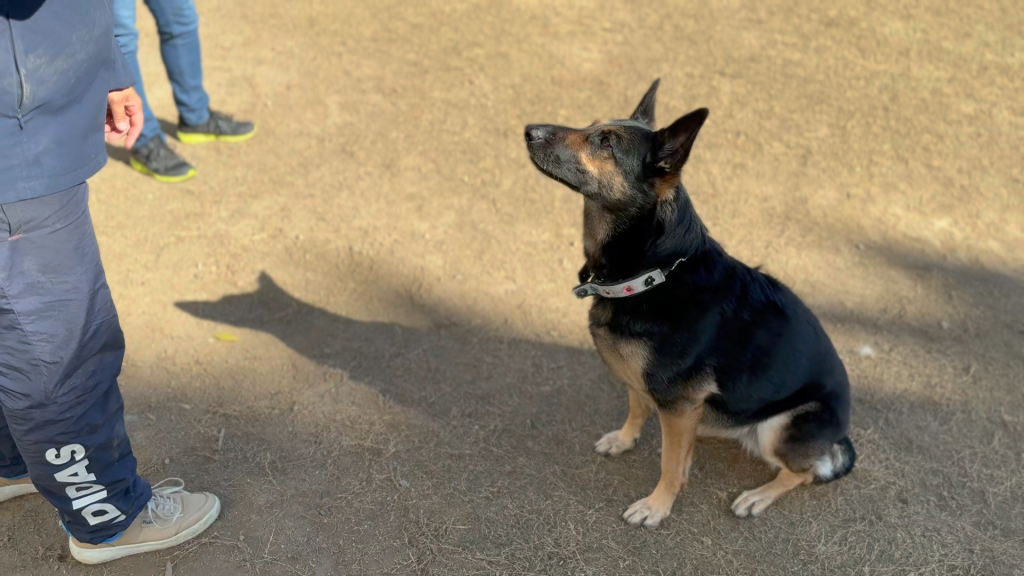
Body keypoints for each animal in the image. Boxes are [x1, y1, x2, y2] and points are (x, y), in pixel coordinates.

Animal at [524, 80, 855, 528]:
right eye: (591, 125)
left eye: (605, 142)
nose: (529, 130)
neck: (654, 270)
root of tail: (839, 435)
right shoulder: (651, 389)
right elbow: (636, 407)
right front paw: (624, 439)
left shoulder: (679, 408)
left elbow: (669, 462)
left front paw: (657, 506)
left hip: (781, 426)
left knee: (802, 473)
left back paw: (757, 496)